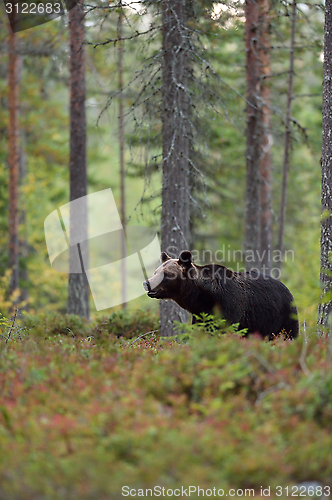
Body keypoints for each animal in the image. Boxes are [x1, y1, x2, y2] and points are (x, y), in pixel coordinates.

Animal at [142, 250, 298, 340]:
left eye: (165, 273)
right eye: (155, 271)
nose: (147, 283)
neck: (201, 298)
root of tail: (287, 289)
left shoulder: (230, 305)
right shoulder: (200, 315)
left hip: (282, 316)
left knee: (290, 334)